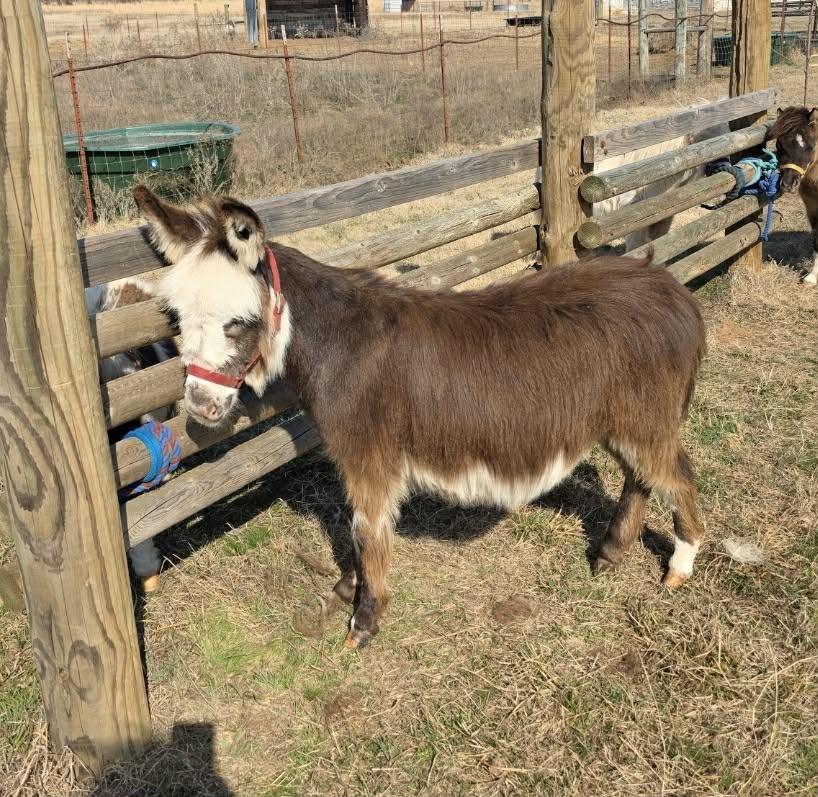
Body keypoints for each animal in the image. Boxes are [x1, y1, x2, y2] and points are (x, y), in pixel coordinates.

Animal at [131, 184, 707, 649]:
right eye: (178, 319)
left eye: (238, 322)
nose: (200, 407)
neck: (338, 344)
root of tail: (668, 286)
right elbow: (359, 532)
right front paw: (348, 589)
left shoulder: (368, 457)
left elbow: (366, 531)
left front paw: (363, 620)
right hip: (623, 420)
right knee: (640, 477)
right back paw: (610, 553)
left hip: (644, 418)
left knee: (676, 476)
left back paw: (679, 566)